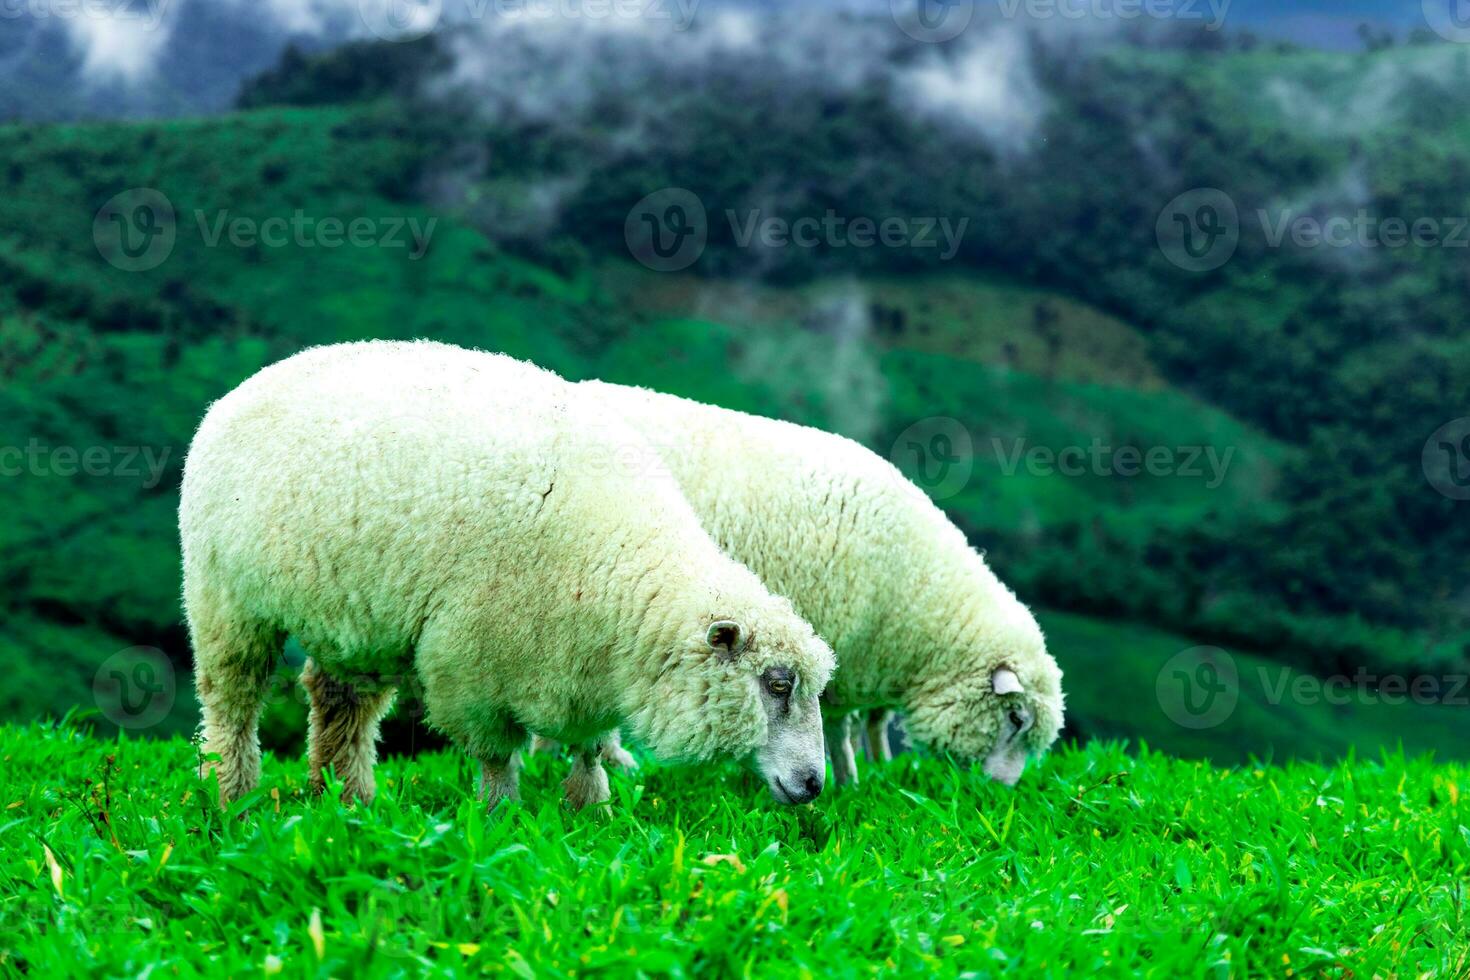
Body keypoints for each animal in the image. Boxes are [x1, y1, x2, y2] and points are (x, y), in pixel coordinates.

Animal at [177, 345, 834, 811]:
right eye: (778, 684)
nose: (814, 785)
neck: (621, 561)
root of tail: (245, 387)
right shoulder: (472, 666)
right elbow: (496, 756)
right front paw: (499, 818)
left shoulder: (586, 665)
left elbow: (589, 749)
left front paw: (590, 810)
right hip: (222, 595)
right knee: (231, 700)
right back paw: (231, 795)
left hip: (351, 613)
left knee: (339, 700)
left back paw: (345, 801)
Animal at [579, 379, 1064, 787]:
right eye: (1016, 718)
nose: (1001, 790)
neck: (915, 588)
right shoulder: (838, 647)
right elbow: (833, 723)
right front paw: (848, 780)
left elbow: (855, 722)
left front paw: (862, 775)